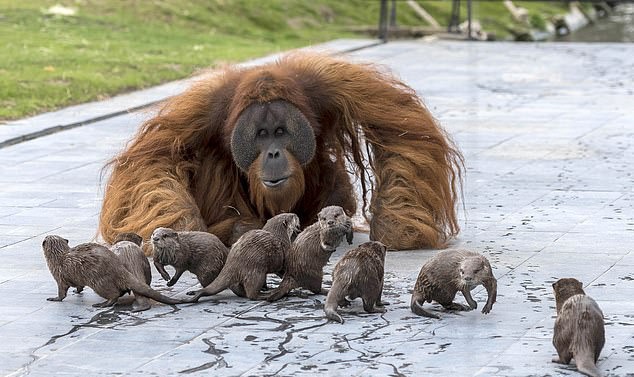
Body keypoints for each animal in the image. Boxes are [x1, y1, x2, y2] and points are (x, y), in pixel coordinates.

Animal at [42, 235, 183, 308]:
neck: (58, 257)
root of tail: (119, 268)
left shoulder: (59, 275)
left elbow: (62, 292)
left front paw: (55, 298)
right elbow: (79, 286)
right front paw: (77, 291)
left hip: (98, 282)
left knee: (113, 295)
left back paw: (102, 304)